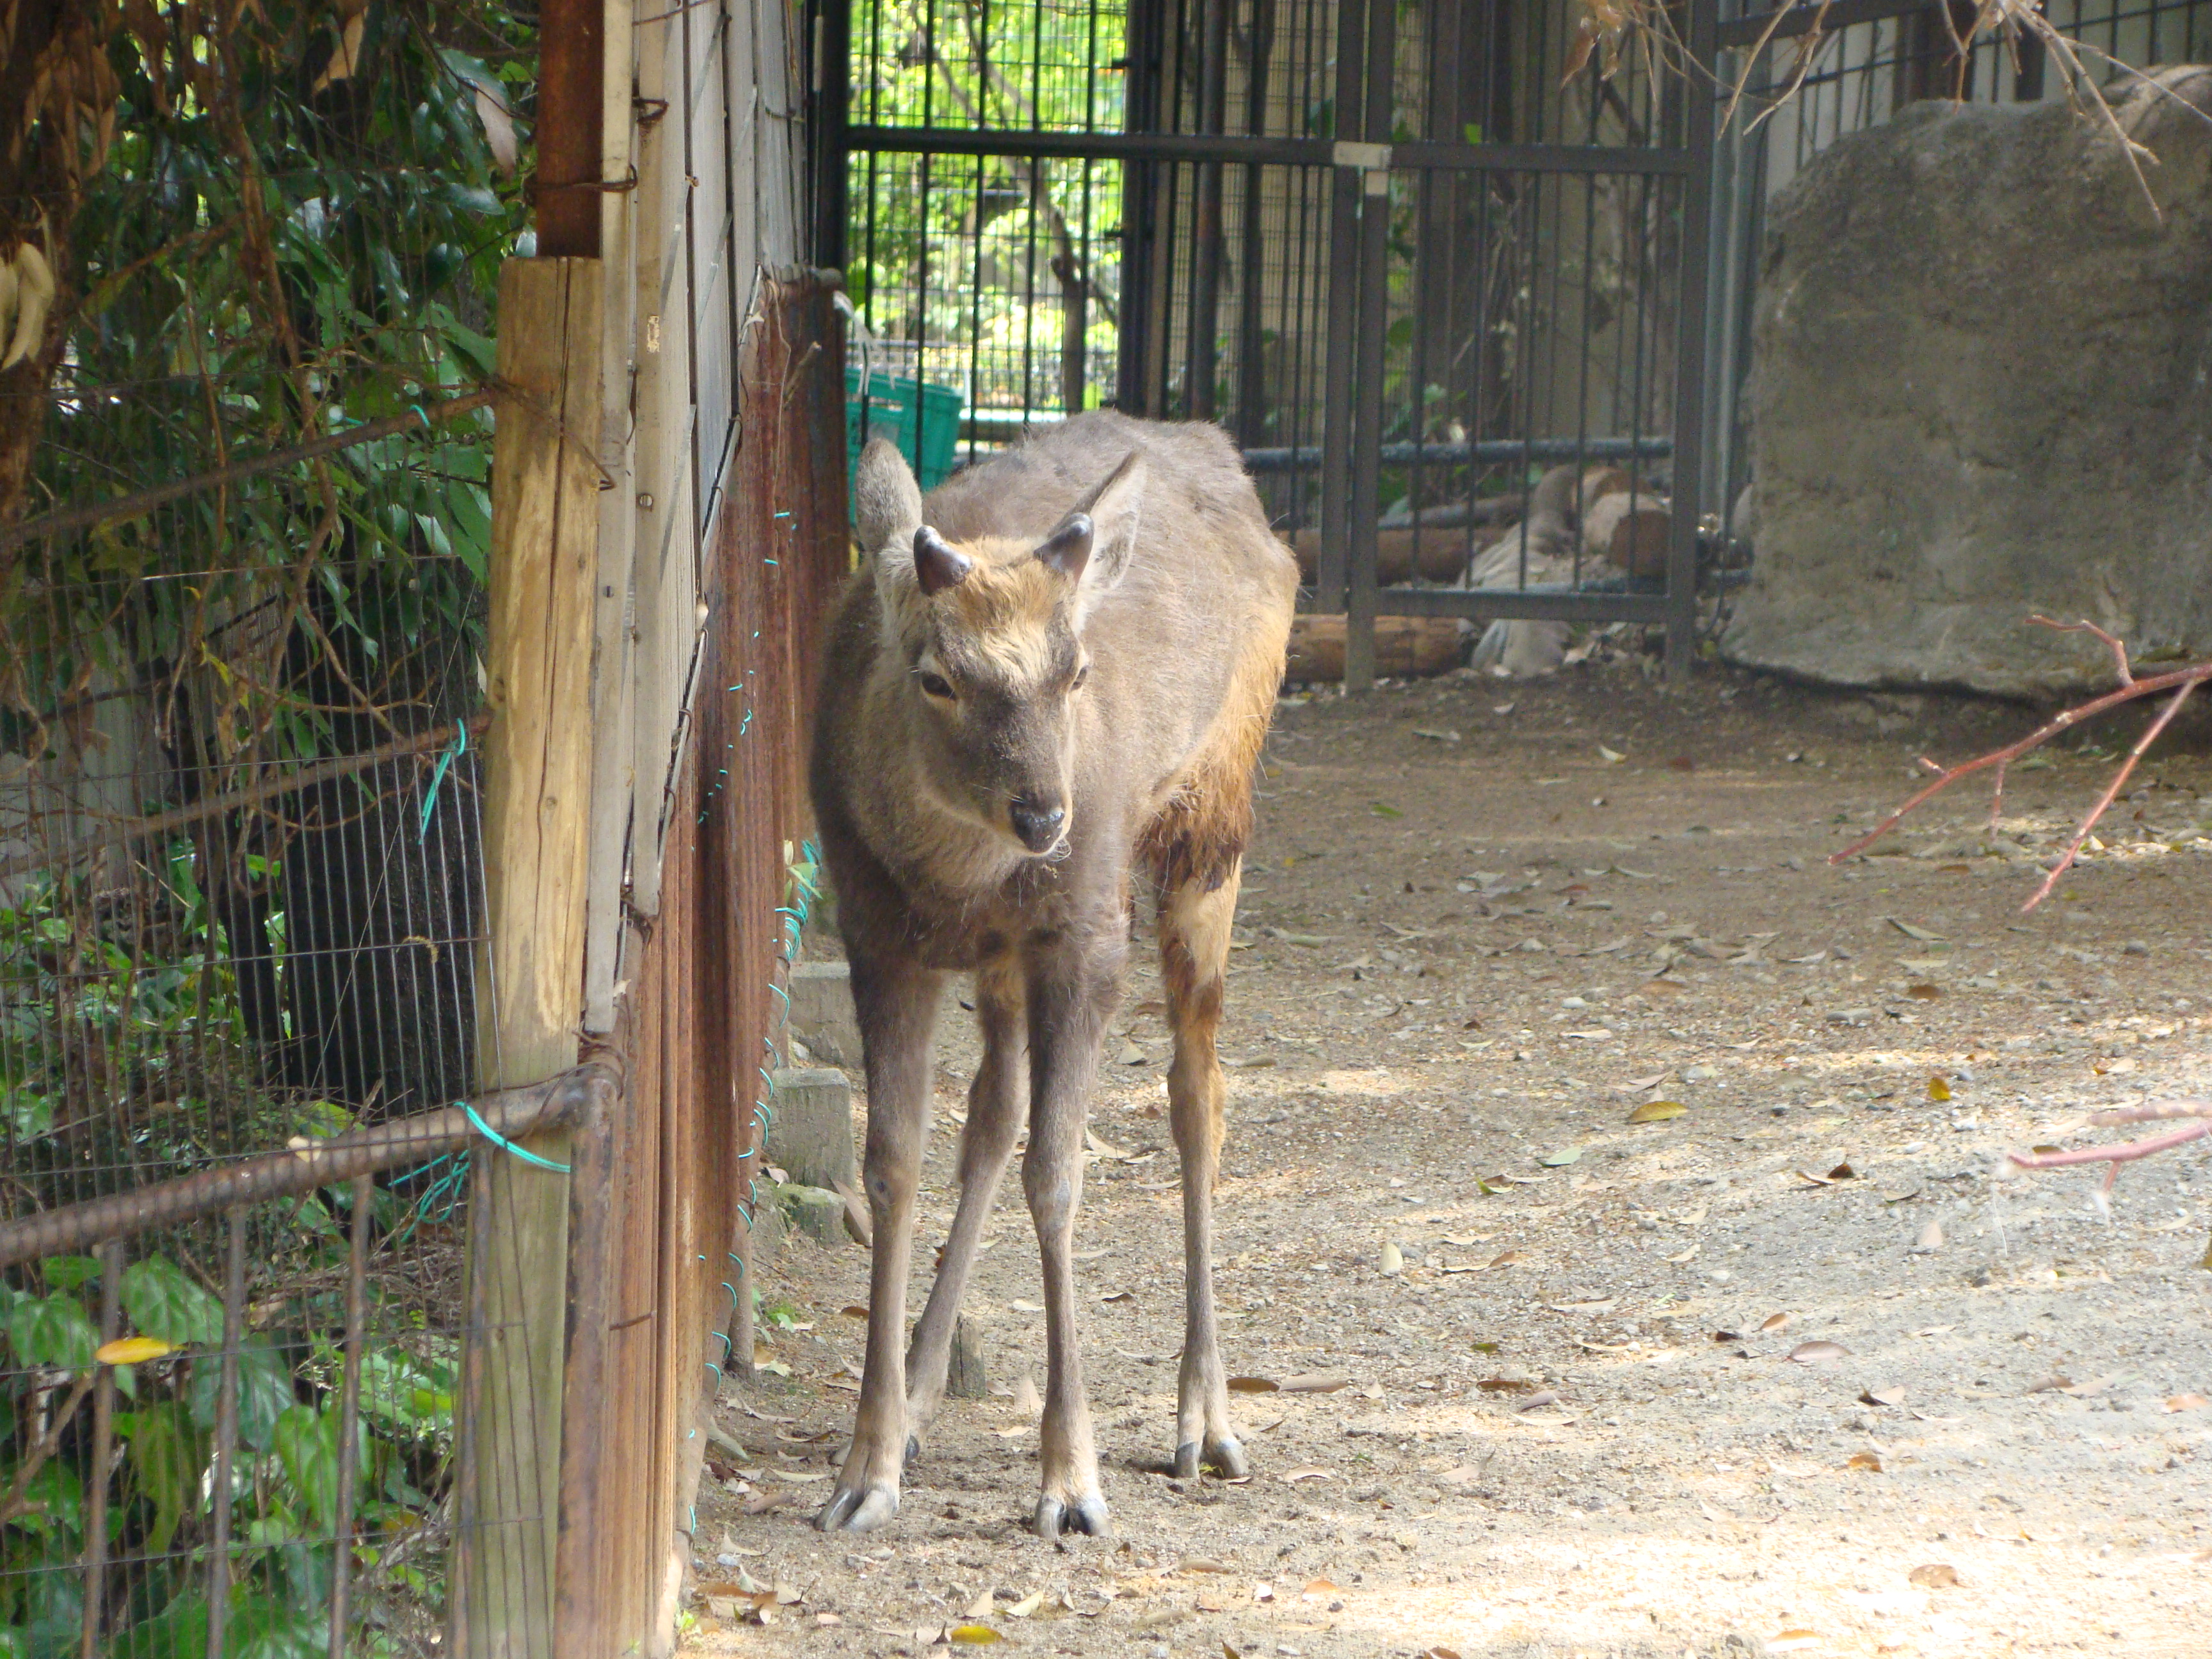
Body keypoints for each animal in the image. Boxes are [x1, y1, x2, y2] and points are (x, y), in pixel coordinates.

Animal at [809, 409, 1292, 1539]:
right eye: (937, 675)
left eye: (1074, 673)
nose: (1045, 815)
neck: (953, 876)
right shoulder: (876, 932)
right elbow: (893, 1165)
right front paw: (865, 1465)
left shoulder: (1083, 934)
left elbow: (1060, 1171)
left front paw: (1072, 1481)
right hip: (1004, 959)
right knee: (993, 1111)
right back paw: (924, 1387)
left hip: (1215, 821)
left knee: (1197, 1092)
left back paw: (1205, 1420)